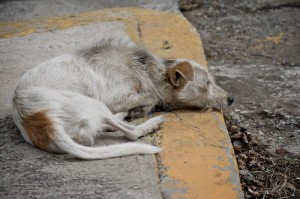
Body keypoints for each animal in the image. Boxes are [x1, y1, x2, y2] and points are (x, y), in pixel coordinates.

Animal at [11, 36, 233, 159]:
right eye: (207, 84)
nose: (231, 99)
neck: (145, 69)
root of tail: (42, 121)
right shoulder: (117, 97)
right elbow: (150, 96)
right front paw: (143, 108)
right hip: (96, 103)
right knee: (130, 133)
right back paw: (146, 123)